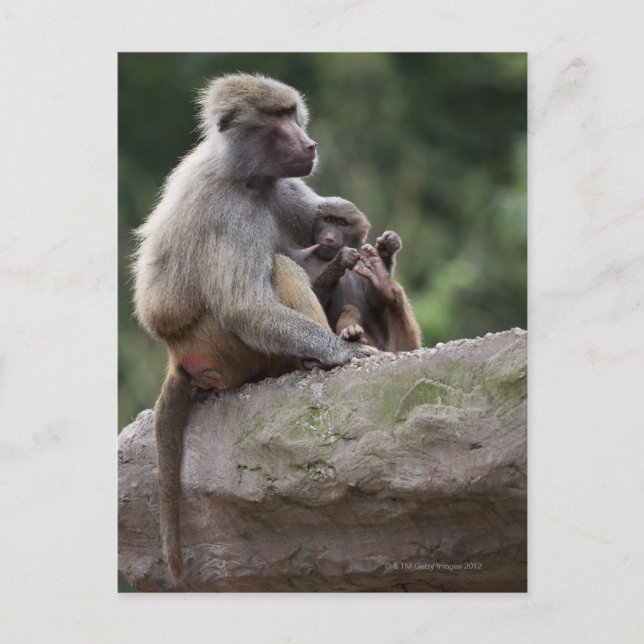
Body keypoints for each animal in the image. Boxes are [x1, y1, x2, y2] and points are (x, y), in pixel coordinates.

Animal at [131, 74, 377, 579]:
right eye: (279, 119)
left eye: (293, 113)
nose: (310, 143)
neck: (248, 178)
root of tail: (176, 356)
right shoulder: (229, 211)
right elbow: (245, 305)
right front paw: (340, 351)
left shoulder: (286, 190)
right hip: (223, 349)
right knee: (277, 270)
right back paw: (311, 363)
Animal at [292, 198, 422, 352]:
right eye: (328, 219)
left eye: (342, 223)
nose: (329, 238)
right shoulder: (300, 259)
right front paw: (340, 262)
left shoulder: (362, 255)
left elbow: (375, 303)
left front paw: (386, 249)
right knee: (350, 309)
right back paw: (352, 334)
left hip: (405, 345)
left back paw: (384, 284)